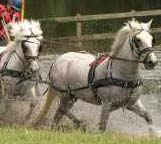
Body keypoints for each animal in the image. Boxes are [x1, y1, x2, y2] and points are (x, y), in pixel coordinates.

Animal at [28, 19, 160, 136]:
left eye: (151, 39)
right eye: (138, 39)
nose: (152, 61)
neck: (121, 74)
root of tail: (57, 60)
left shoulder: (132, 103)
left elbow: (148, 117)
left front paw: (154, 133)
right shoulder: (107, 104)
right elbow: (102, 127)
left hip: (72, 96)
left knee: (60, 113)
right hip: (65, 95)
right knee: (62, 110)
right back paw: (79, 124)